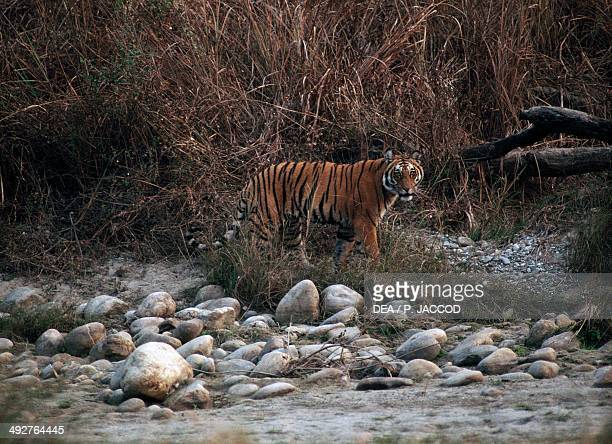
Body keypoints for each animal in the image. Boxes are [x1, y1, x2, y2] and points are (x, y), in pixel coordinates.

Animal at [222, 151, 424, 266]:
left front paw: (339, 274)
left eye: (412, 173)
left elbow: (342, 251)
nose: (407, 189)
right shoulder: (365, 222)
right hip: (266, 220)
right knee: (254, 248)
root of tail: (254, 179)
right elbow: (372, 249)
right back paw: (258, 269)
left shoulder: (348, 225)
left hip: (292, 224)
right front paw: (378, 268)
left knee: (293, 247)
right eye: (398, 174)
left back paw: (305, 271)